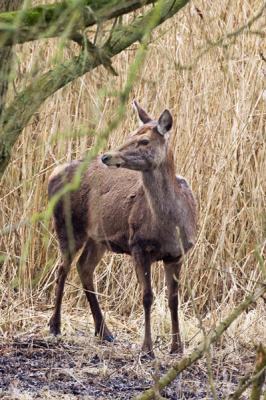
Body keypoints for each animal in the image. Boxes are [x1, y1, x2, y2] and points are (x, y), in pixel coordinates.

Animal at [47, 101, 196, 356]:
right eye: (130, 134)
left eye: (144, 141)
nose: (107, 156)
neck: (171, 226)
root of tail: (53, 173)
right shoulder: (138, 246)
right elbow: (147, 296)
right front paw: (147, 349)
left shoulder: (178, 253)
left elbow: (173, 298)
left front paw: (177, 347)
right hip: (66, 224)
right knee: (62, 269)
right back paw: (55, 326)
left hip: (98, 238)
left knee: (84, 267)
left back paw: (104, 332)